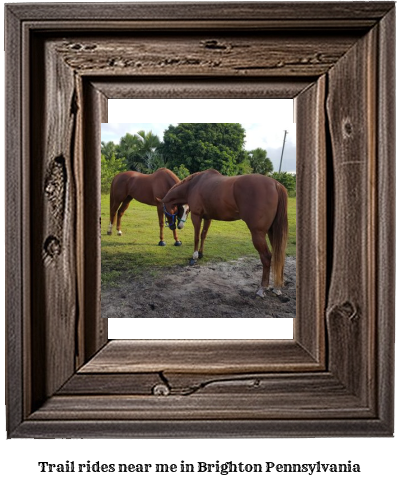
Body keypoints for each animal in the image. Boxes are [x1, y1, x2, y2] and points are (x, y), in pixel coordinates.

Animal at [161, 170, 290, 296]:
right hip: (272, 232)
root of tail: (275, 184)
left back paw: (263, 288)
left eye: (185, 210)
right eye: (180, 208)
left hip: (258, 234)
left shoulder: (196, 216)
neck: (194, 184)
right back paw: (277, 287)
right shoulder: (207, 218)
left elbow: (196, 237)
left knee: (267, 257)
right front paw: (201, 253)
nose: (176, 226)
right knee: (279, 254)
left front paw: (194, 256)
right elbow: (203, 235)